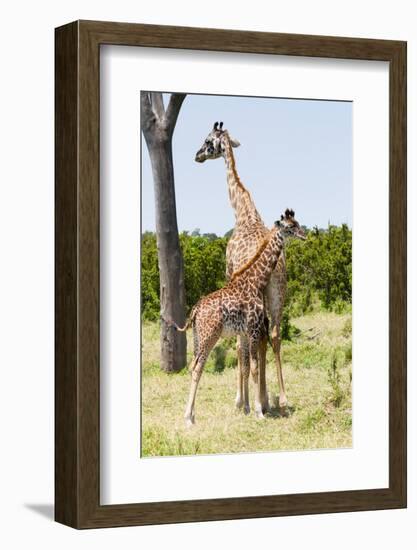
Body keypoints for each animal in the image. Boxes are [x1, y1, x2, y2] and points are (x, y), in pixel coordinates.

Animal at [166, 210, 306, 426]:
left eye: (297, 223)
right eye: (290, 227)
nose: (304, 234)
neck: (257, 280)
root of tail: (195, 310)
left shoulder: (247, 332)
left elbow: (248, 366)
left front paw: (250, 408)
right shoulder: (254, 328)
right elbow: (255, 368)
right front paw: (259, 412)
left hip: (198, 337)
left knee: (192, 367)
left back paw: (192, 415)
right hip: (210, 336)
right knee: (197, 367)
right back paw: (188, 418)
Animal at [196, 122, 292, 414]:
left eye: (207, 141)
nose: (197, 156)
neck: (244, 213)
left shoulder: (230, 276)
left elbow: (240, 347)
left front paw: (241, 400)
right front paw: (259, 398)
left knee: (256, 340)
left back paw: (260, 400)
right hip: (278, 292)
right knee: (273, 335)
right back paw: (280, 398)